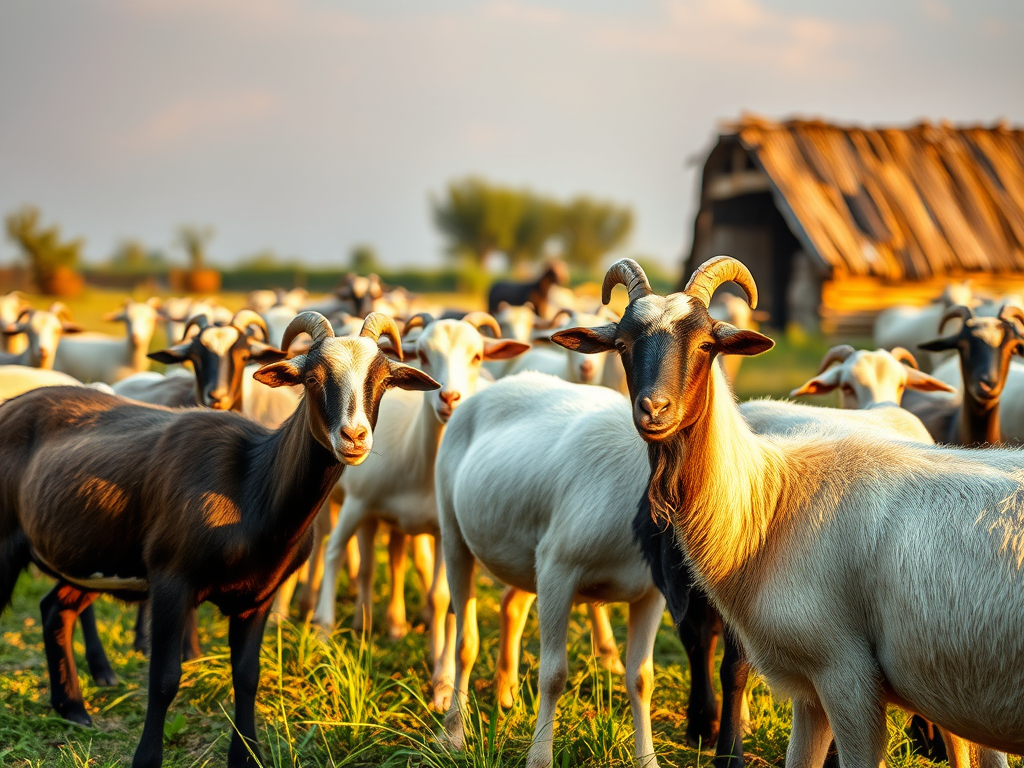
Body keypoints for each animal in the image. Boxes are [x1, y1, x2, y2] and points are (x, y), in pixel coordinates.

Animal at [0, 312, 439, 768]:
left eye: (384, 380)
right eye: (311, 378)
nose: (354, 438)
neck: (251, 485)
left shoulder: (259, 596)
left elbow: (247, 677)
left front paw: (246, 755)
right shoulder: (171, 581)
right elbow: (165, 678)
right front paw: (147, 758)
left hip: (92, 555)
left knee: (55, 610)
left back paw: (72, 708)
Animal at [311, 313, 528, 655]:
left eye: (477, 356)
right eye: (424, 355)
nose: (449, 398)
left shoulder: (443, 531)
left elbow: (440, 595)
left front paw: (438, 656)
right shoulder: (359, 503)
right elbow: (337, 553)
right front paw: (325, 631)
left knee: (396, 559)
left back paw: (395, 623)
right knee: (345, 553)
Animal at [434, 372, 665, 768]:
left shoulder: (651, 593)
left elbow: (641, 679)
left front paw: (647, 759)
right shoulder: (559, 567)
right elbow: (553, 675)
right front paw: (540, 757)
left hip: (525, 553)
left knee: (511, 605)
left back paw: (505, 693)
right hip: (452, 530)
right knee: (466, 641)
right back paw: (454, 732)